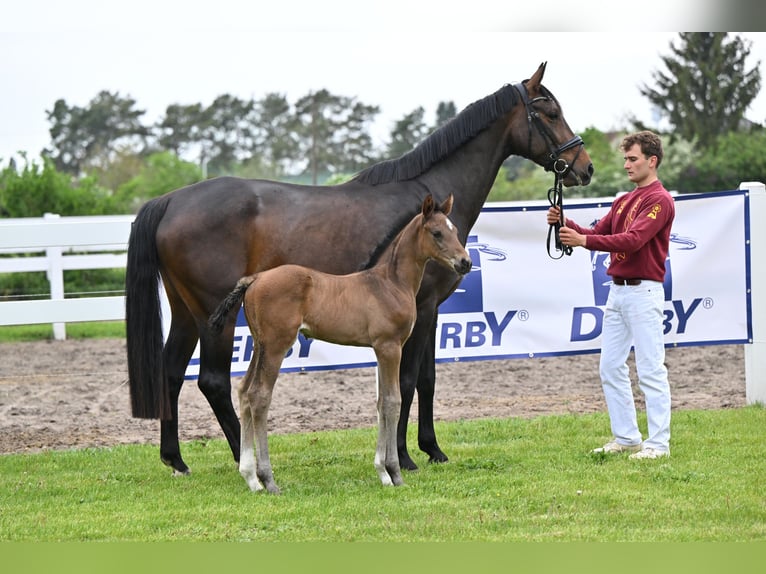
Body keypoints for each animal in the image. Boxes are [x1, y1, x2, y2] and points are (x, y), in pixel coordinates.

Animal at [208, 194, 470, 493]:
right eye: (437, 233)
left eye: (455, 231)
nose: (465, 262)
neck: (390, 283)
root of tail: (255, 278)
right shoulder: (390, 346)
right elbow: (393, 401)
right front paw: (394, 473)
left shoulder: (380, 349)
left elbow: (381, 402)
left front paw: (382, 471)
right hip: (276, 346)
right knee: (259, 396)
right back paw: (268, 479)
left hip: (259, 346)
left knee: (243, 391)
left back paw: (251, 477)